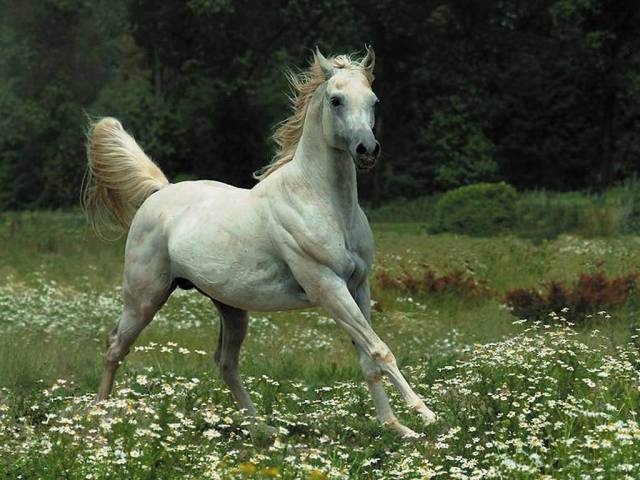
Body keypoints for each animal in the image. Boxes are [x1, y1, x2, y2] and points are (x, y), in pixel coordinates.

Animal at [82, 47, 436, 439]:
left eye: (374, 100)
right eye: (336, 100)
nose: (367, 150)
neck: (321, 202)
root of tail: (160, 192)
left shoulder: (358, 287)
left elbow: (367, 356)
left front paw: (397, 427)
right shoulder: (327, 287)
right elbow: (379, 349)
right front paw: (424, 414)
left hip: (231, 308)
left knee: (226, 364)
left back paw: (264, 430)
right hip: (144, 297)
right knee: (115, 347)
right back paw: (97, 418)